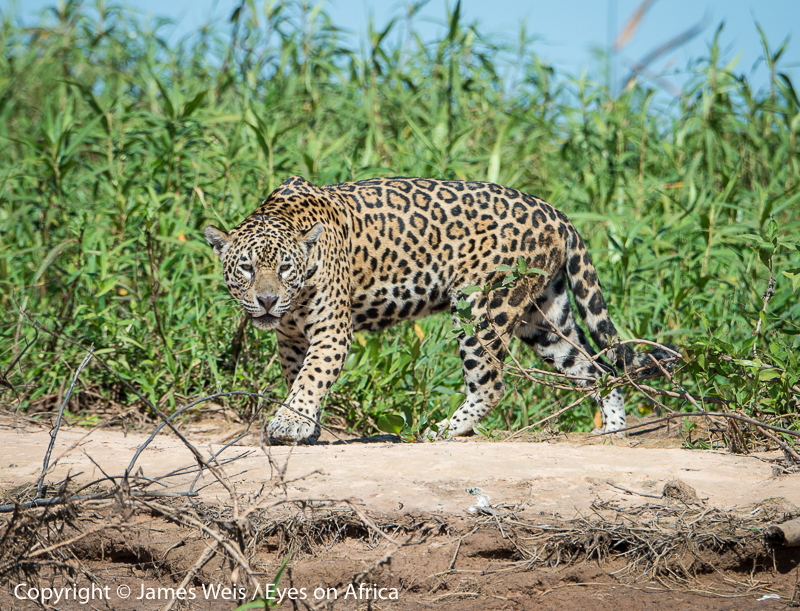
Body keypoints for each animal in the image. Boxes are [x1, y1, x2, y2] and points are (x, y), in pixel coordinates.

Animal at [205, 175, 676, 444]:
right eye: (247, 269)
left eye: (285, 269)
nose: (267, 301)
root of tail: (556, 213)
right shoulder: (289, 338)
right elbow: (298, 377)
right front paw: (306, 424)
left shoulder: (331, 332)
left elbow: (312, 376)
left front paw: (290, 424)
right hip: (544, 317)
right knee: (596, 367)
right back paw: (612, 430)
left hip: (481, 306)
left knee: (492, 384)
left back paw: (441, 430)